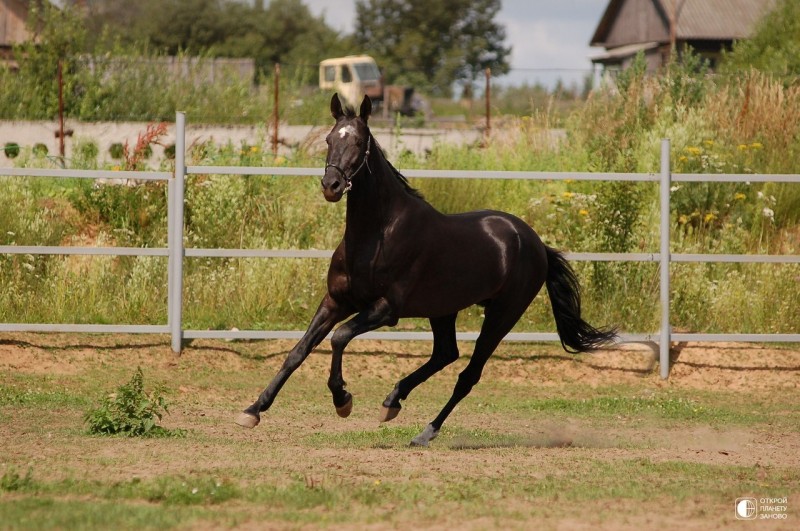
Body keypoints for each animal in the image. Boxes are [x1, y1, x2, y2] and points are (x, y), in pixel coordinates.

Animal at [234, 93, 616, 446]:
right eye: (329, 139)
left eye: (357, 141)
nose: (332, 186)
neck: (377, 233)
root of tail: (536, 244)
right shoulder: (336, 301)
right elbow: (298, 351)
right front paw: (253, 410)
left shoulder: (386, 310)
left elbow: (340, 337)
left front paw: (343, 400)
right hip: (444, 310)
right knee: (446, 354)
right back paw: (392, 401)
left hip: (502, 315)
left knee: (467, 375)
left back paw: (424, 431)